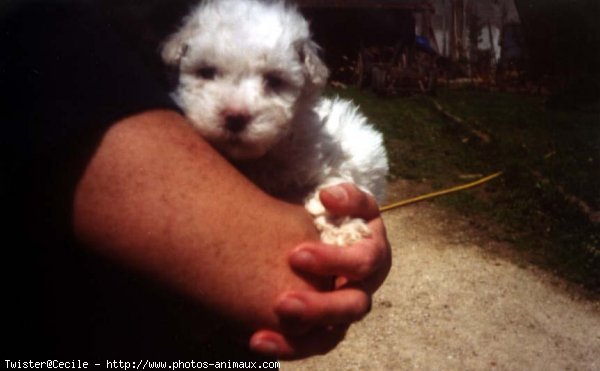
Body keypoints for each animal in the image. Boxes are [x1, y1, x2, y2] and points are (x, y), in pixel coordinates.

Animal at [162, 0, 390, 247]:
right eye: (206, 72)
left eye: (274, 80)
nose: (235, 116)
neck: (265, 155)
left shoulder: (333, 160)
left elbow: (333, 186)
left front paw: (339, 225)